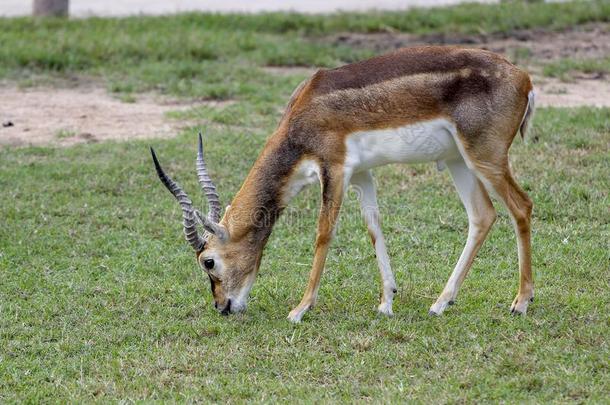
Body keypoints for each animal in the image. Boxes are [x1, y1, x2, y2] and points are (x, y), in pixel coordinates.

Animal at [151, 45, 532, 322]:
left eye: (208, 261)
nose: (222, 306)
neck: (304, 114)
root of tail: (524, 77)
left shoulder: (333, 168)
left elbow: (323, 233)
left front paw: (299, 309)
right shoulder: (361, 174)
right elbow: (374, 227)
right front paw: (386, 302)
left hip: (485, 157)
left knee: (521, 206)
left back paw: (521, 302)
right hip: (458, 160)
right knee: (482, 215)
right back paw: (440, 303)